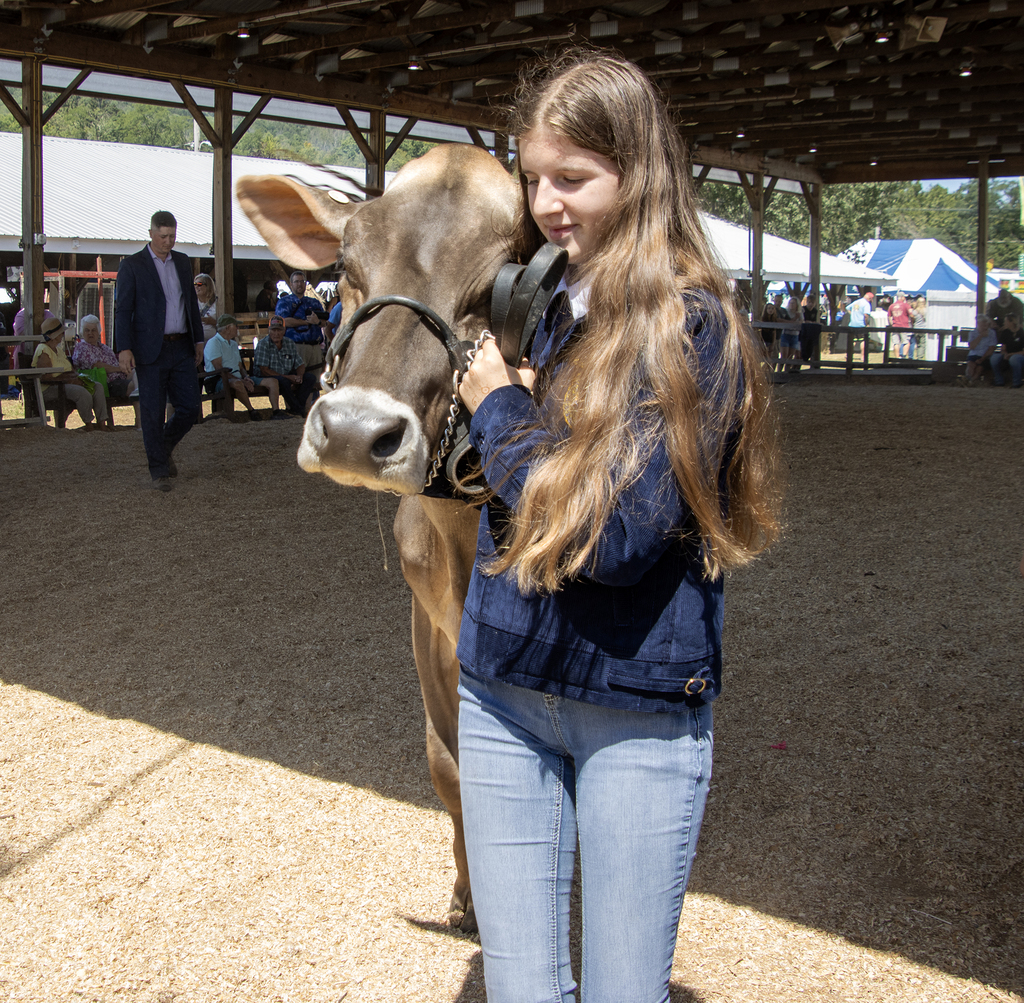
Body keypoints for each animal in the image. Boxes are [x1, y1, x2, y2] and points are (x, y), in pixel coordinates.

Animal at [237, 145, 522, 932]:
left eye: (497, 283)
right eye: (346, 262)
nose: (355, 432)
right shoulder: (427, 621)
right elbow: (450, 766)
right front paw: (468, 897)